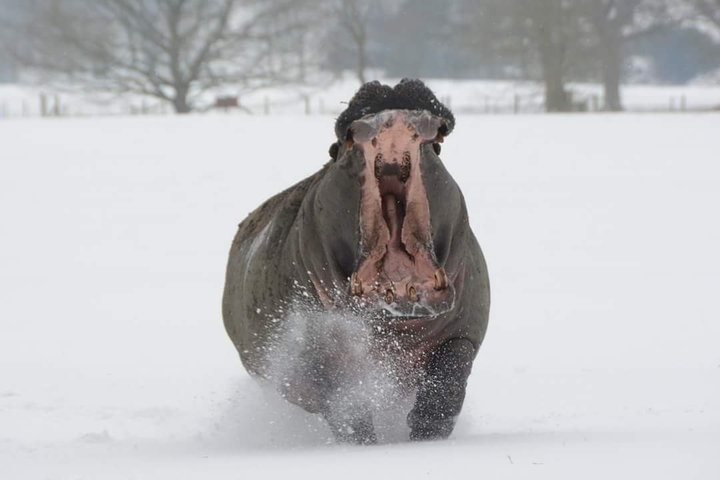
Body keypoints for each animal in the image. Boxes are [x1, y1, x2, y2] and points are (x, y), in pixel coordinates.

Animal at [222, 79, 490, 444]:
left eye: (437, 150)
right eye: (336, 150)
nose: (390, 87)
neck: (394, 328)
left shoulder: (463, 331)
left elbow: (449, 375)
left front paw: (425, 437)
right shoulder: (318, 354)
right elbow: (345, 405)